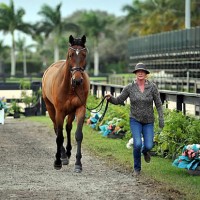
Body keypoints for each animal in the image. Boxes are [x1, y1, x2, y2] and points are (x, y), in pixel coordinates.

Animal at [41, 34, 89, 172]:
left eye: (84, 54)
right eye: (71, 55)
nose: (77, 80)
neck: (70, 86)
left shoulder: (80, 109)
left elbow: (78, 135)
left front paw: (78, 163)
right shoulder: (59, 111)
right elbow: (59, 137)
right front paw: (57, 161)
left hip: (71, 112)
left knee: (67, 128)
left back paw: (67, 153)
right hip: (51, 109)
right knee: (57, 129)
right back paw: (62, 156)